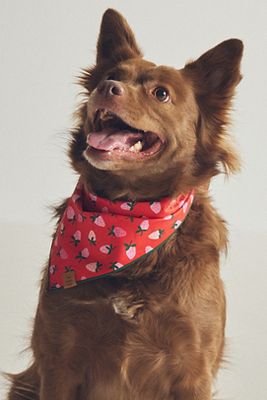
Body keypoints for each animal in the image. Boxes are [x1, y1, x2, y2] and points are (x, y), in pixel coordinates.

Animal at [7, 7, 244, 400]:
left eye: (161, 94)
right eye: (111, 76)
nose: (106, 88)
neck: (127, 219)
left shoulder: (192, 369)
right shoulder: (58, 359)